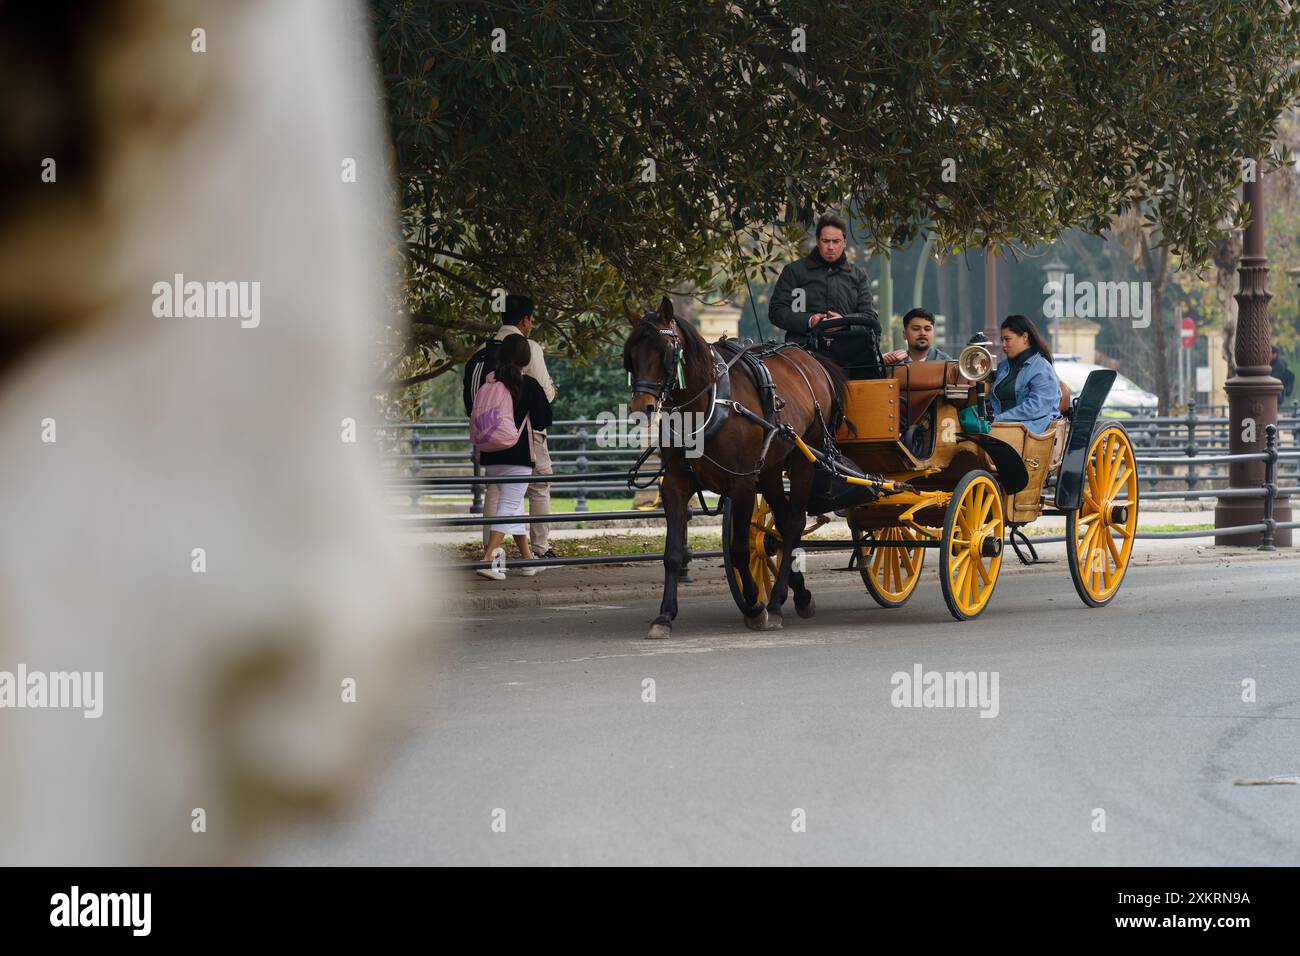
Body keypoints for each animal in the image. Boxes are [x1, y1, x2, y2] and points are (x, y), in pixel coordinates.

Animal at [621, 297, 847, 642]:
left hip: (803, 458)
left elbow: (740, 550)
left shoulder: (742, 485)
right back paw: (797, 595)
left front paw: (754, 606)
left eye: (666, 351)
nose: (641, 408)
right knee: (784, 525)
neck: (708, 405)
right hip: (770, 470)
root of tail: (810, 360)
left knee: (794, 523)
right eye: (630, 355)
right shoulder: (675, 485)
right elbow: (672, 554)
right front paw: (665, 615)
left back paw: (775, 603)